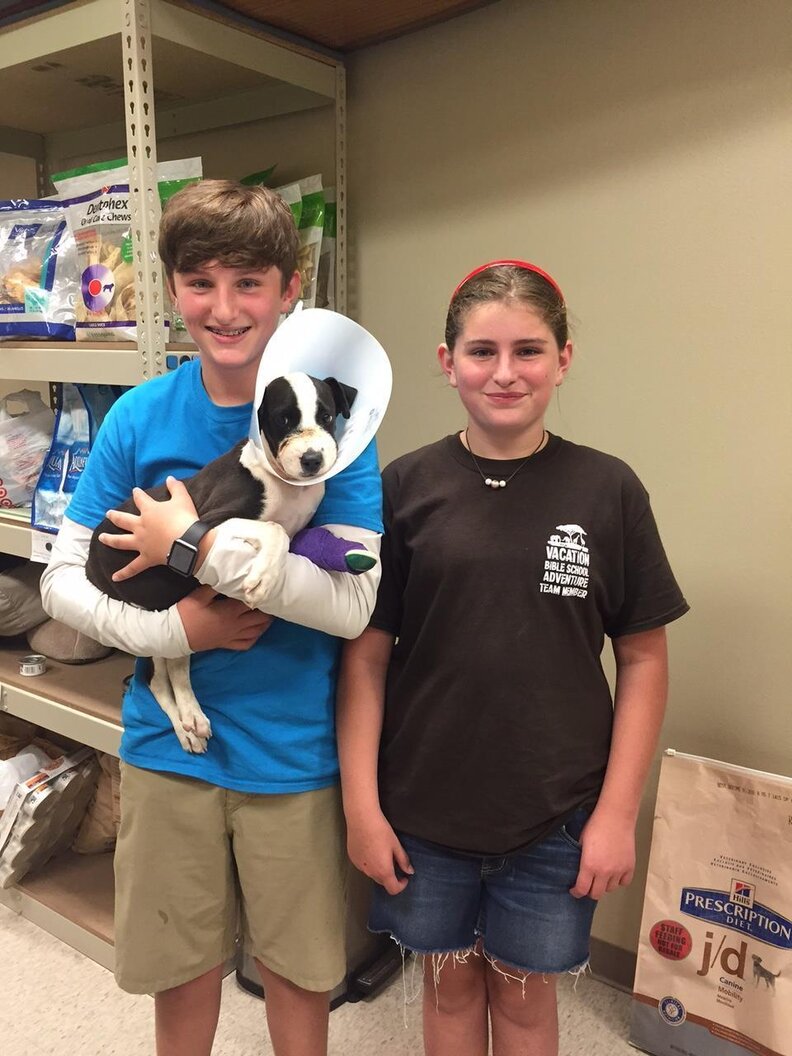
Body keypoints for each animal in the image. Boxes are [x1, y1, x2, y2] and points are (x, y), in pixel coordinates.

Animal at [86, 371, 358, 753]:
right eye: (283, 419)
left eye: (327, 417)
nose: (312, 460)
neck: (283, 482)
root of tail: (90, 563)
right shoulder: (209, 521)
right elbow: (274, 528)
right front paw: (263, 580)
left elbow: (294, 536)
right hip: (152, 603)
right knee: (159, 675)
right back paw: (188, 721)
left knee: (172, 664)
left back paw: (189, 720)